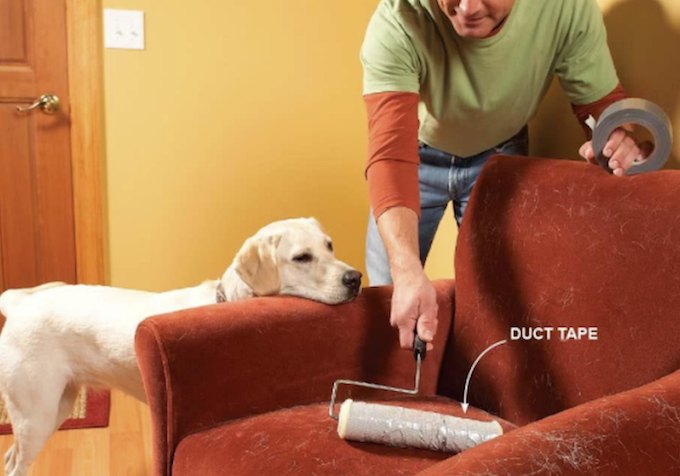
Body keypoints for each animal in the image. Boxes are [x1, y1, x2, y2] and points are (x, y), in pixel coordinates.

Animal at [0, 218, 364, 474]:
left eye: (330, 246)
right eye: (302, 257)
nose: (355, 278)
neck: (226, 300)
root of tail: (20, 304)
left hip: (56, 408)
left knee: (10, 456)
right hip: (37, 415)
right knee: (16, 464)